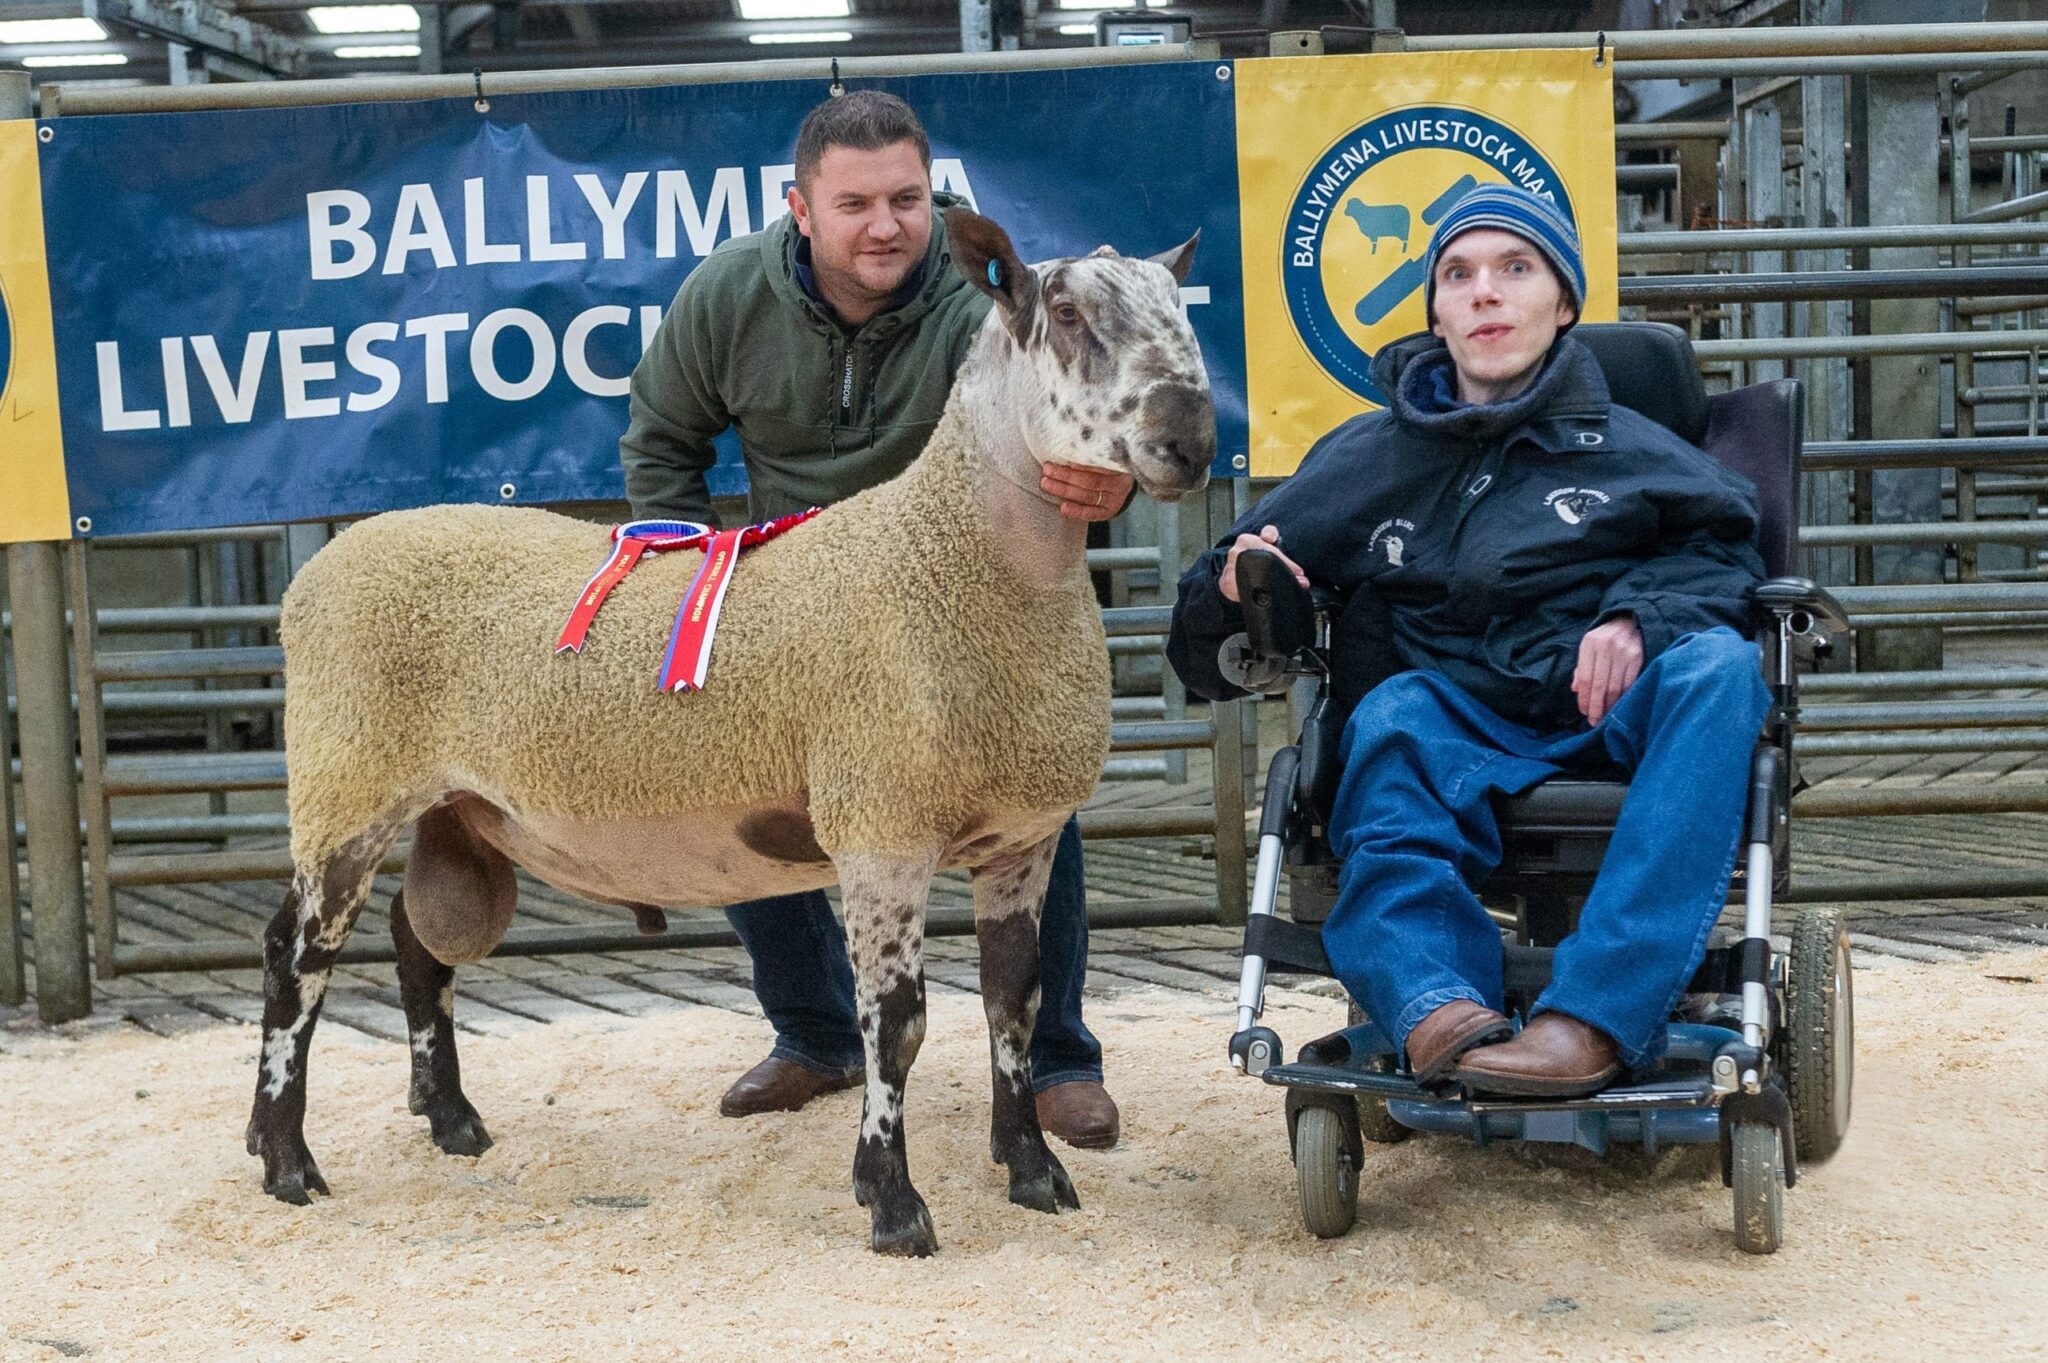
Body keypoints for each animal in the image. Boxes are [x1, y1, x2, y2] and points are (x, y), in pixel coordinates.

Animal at [245, 206, 1204, 1260]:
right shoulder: (881, 823)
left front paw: (1033, 1169)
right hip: (346, 777)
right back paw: (286, 1159)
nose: (1194, 436)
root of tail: (318, 574)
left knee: (420, 944)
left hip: (449, 803)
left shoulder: (1022, 837)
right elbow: (898, 1026)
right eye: (1068, 313)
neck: (957, 558)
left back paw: (449, 1121)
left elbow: (1013, 1003)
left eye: (1180, 309)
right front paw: (893, 1203)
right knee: (295, 955)